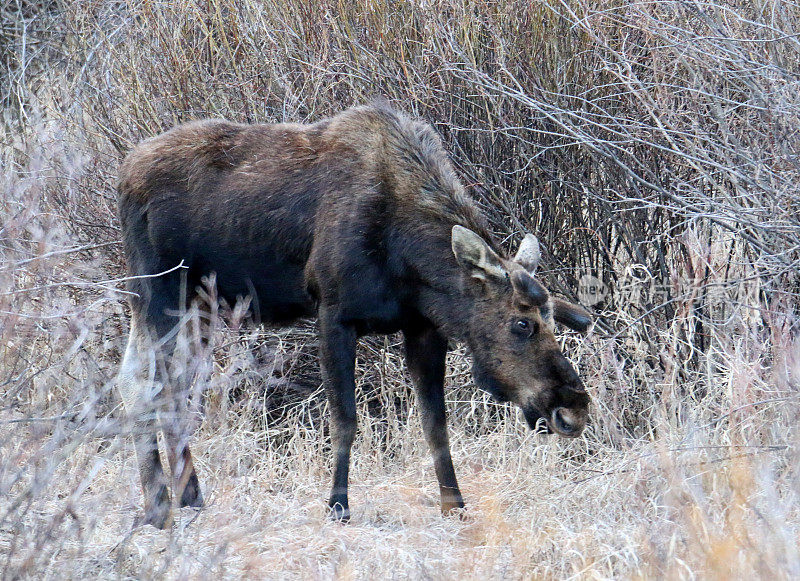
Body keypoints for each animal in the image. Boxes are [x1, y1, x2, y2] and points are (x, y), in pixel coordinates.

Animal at [119, 102, 592, 528]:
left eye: (553, 320)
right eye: (521, 323)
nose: (572, 410)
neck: (406, 256)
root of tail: (123, 173)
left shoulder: (424, 327)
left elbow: (436, 425)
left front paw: (454, 506)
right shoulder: (333, 316)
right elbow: (344, 420)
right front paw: (338, 506)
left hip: (196, 305)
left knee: (148, 382)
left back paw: (173, 501)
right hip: (160, 291)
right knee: (155, 387)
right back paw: (171, 504)